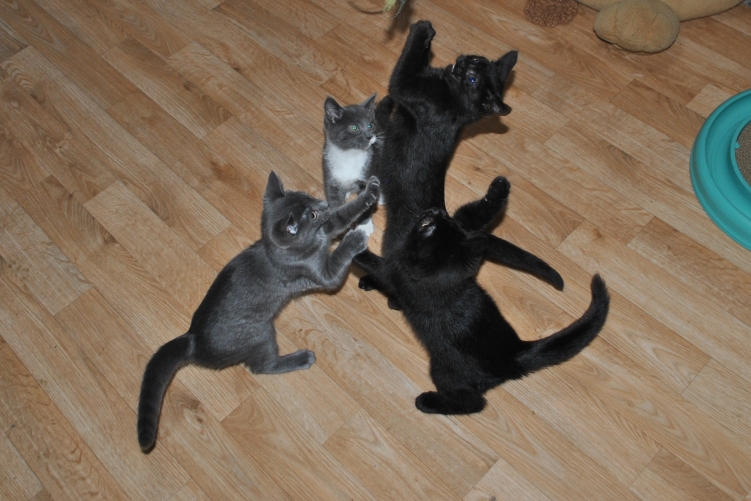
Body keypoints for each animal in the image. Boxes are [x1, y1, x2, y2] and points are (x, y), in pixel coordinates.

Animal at [137, 171, 380, 452]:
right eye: (311, 215)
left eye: (309, 198)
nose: (323, 204)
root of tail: (192, 339)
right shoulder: (323, 273)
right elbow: (339, 256)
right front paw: (357, 236)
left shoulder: (327, 229)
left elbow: (343, 215)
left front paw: (369, 192)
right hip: (260, 333)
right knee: (262, 366)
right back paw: (301, 358)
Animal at [322, 94, 382, 234]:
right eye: (354, 128)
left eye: (370, 125)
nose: (370, 137)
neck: (350, 155)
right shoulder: (329, 176)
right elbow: (334, 200)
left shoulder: (369, 172)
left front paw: (364, 226)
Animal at [354, 197, 610, 415]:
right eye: (447, 222)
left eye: (428, 226)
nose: (436, 211)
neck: (445, 284)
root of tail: (514, 352)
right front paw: (378, 288)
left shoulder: (397, 275)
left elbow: (377, 265)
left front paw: (352, 246)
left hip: (445, 369)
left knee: (474, 402)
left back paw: (428, 402)